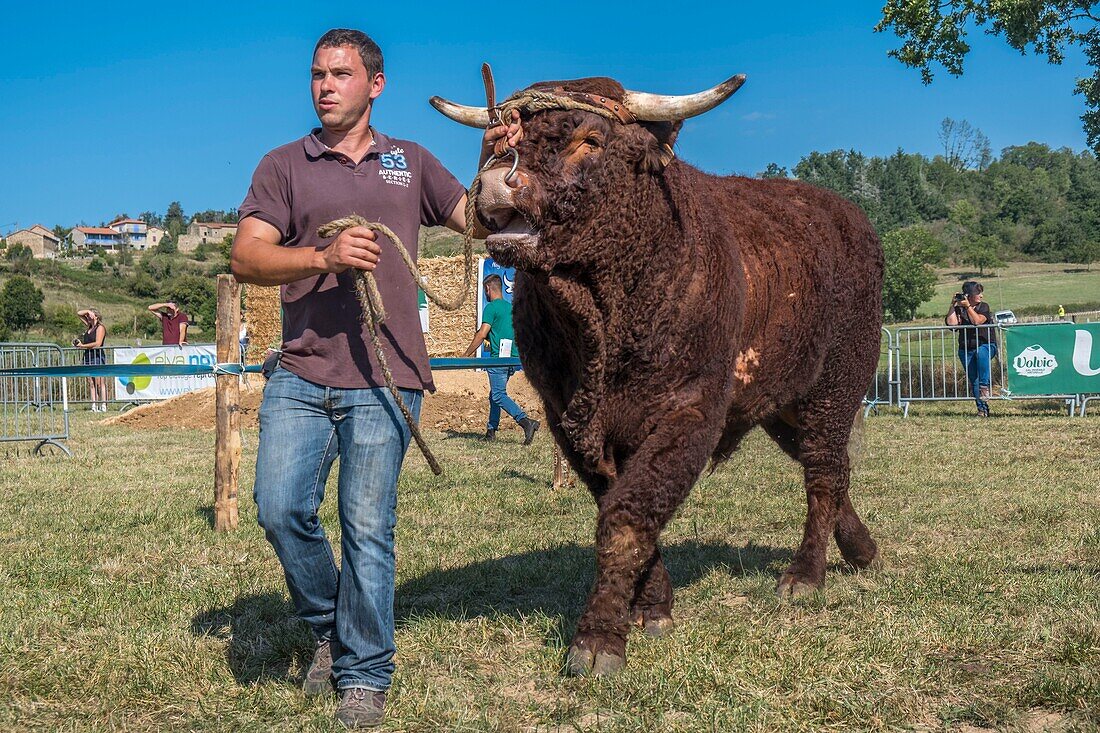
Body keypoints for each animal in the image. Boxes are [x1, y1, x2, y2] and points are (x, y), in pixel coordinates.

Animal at [431, 74, 884, 673]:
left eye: (591, 141)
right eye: (502, 139)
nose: (491, 184)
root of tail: (848, 217)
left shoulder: (690, 410)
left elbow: (629, 514)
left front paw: (598, 638)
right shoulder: (572, 420)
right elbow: (619, 500)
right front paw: (652, 605)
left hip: (835, 384)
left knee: (824, 473)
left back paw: (806, 574)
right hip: (782, 405)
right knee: (833, 465)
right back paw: (860, 548)